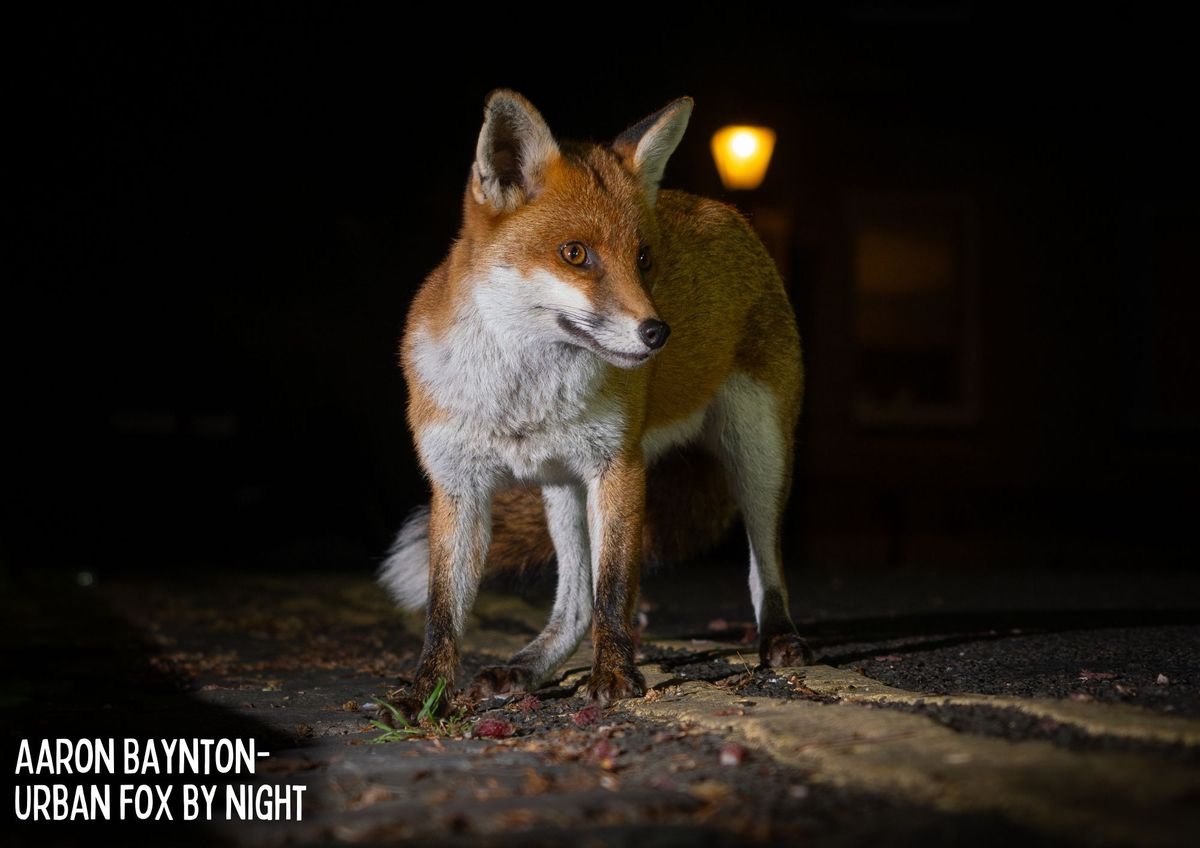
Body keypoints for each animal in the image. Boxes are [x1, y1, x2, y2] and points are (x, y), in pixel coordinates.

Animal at [381, 88, 816, 710]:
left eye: (644, 259)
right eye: (575, 254)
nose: (657, 334)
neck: (523, 397)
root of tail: (725, 210)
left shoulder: (619, 467)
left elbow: (614, 589)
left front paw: (614, 676)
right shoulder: (457, 484)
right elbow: (444, 610)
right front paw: (426, 694)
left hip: (759, 450)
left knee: (763, 567)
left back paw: (779, 636)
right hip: (561, 489)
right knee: (574, 603)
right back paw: (529, 666)